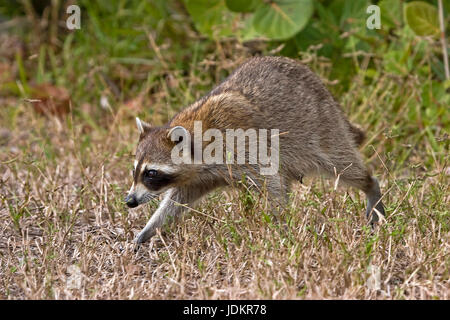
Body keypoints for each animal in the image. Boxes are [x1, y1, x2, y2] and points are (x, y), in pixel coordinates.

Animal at [125, 56, 384, 244]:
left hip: (322, 130)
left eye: (151, 173)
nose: (129, 201)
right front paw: (149, 229)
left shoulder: (246, 149)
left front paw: (281, 228)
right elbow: (176, 202)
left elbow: (272, 187)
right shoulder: (198, 177)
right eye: (134, 171)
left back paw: (370, 185)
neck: (198, 137)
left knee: (343, 165)